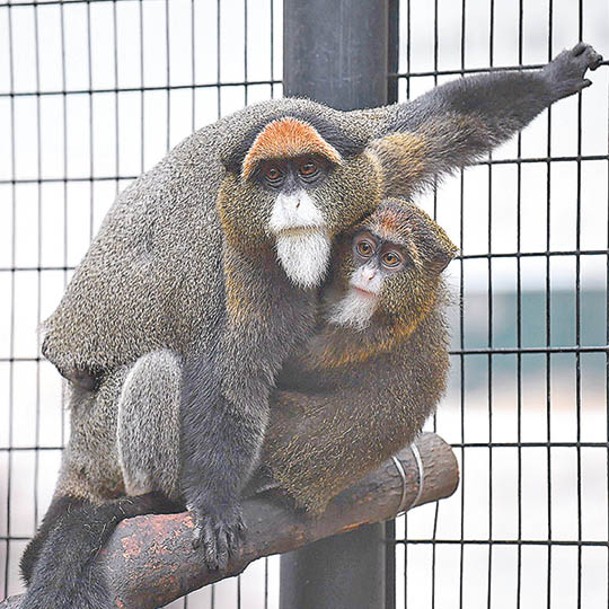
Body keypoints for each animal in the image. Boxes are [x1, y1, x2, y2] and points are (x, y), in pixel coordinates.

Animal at [20, 42, 604, 608]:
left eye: (309, 172)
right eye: (272, 176)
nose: (294, 201)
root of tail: (76, 454)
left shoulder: (368, 161)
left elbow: (442, 121)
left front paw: (552, 77)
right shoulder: (232, 256)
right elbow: (227, 377)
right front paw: (212, 502)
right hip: (99, 436)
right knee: (156, 369)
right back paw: (155, 500)